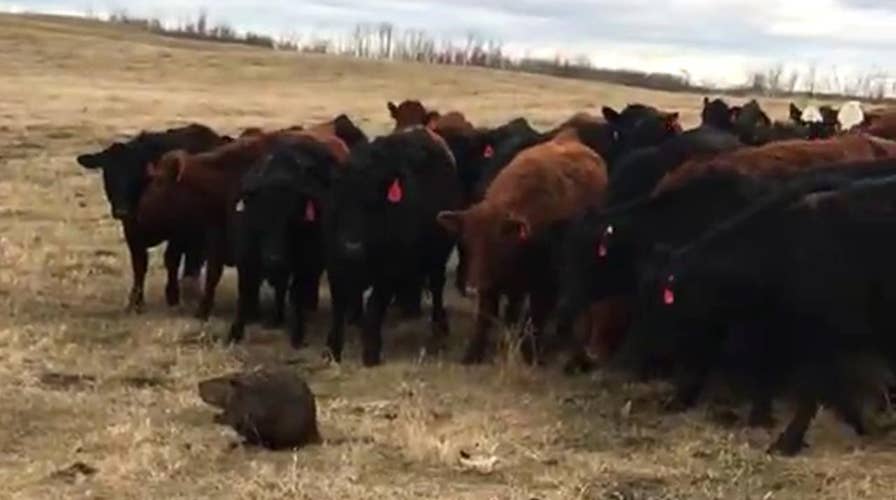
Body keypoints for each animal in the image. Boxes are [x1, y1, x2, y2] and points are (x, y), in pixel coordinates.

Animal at [76, 123, 228, 312]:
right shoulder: (132, 230)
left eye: (134, 172)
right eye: (108, 173)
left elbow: (171, 259)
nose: (121, 211)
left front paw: (172, 296)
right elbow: (139, 264)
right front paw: (136, 301)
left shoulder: (178, 231)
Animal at [228, 132, 349, 348]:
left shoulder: (307, 262)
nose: (274, 259)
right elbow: (245, 291)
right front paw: (234, 333)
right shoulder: (246, 256)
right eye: (259, 218)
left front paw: (298, 336)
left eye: (292, 219)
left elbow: (296, 294)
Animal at [326, 128, 463, 366]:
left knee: (437, 286)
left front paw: (371, 352)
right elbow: (338, 307)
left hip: (438, 256)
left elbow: (374, 307)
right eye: (338, 201)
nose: (352, 247)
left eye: (373, 204)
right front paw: (333, 349)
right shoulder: (337, 269)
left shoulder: (388, 273)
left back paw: (439, 326)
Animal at [438, 129, 608, 365]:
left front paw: (530, 354)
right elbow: (484, 318)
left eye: (497, 243)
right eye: (466, 241)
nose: (472, 287)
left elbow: (536, 318)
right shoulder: (492, 287)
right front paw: (473, 354)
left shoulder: (545, 285)